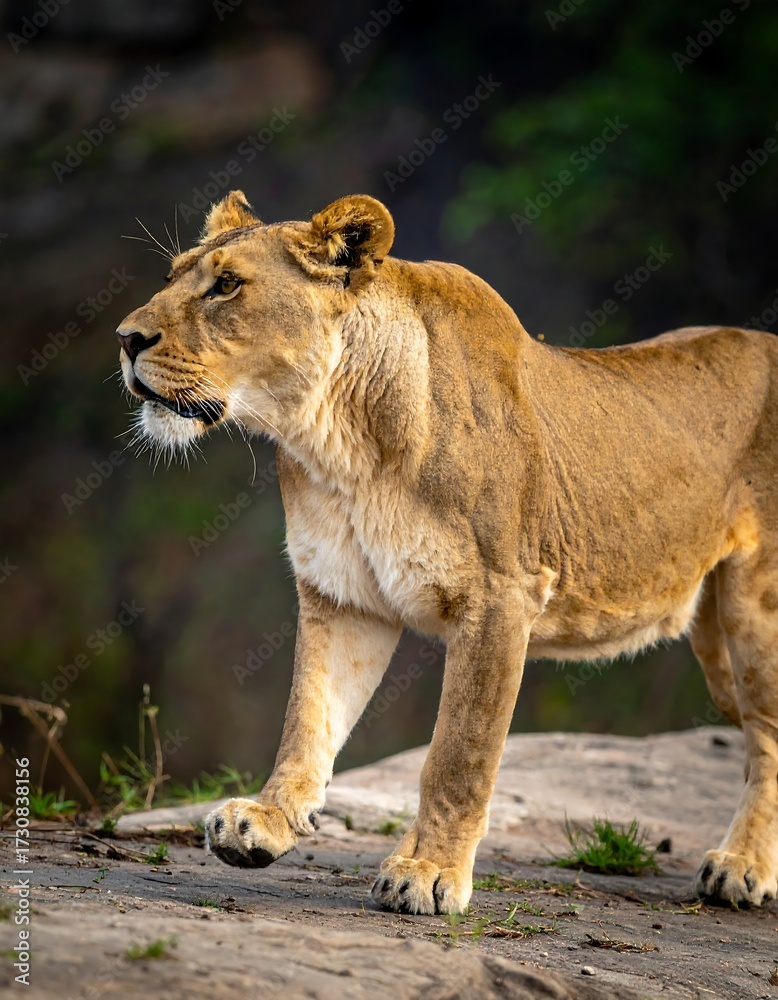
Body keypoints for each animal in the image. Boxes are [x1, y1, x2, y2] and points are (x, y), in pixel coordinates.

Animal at [116, 190, 778, 914]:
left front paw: (428, 870)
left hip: (756, 610)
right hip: (716, 648)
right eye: (172, 276)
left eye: (227, 286)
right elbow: (309, 718)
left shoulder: (501, 598)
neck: (338, 442)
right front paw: (263, 823)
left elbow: (459, 754)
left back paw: (742, 867)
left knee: (767, 737)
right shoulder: (343, 596)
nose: (126, 339)